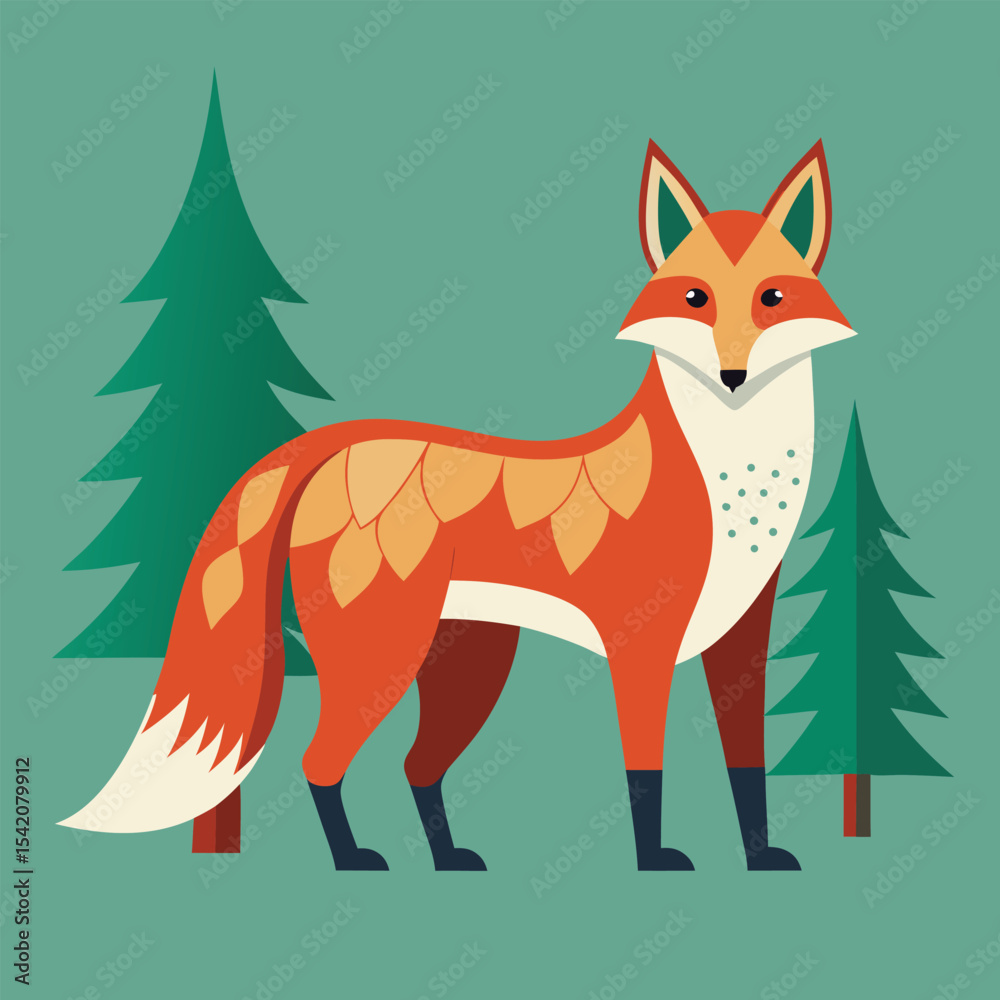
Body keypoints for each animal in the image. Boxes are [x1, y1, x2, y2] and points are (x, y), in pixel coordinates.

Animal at [59, 139, 854, 872]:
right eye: (695, 300)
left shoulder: (743, 637)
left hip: (468, 666)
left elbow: (747, 767)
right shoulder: (640, 643)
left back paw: (447, 860)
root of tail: (341, 444)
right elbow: (645, 773)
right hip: (384, 657)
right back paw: (354, 860)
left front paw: (761, 858)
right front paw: (654, 862)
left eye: (773, 299)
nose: (732, 375)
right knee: (322, 761)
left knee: (416, 765)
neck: (735, 483)